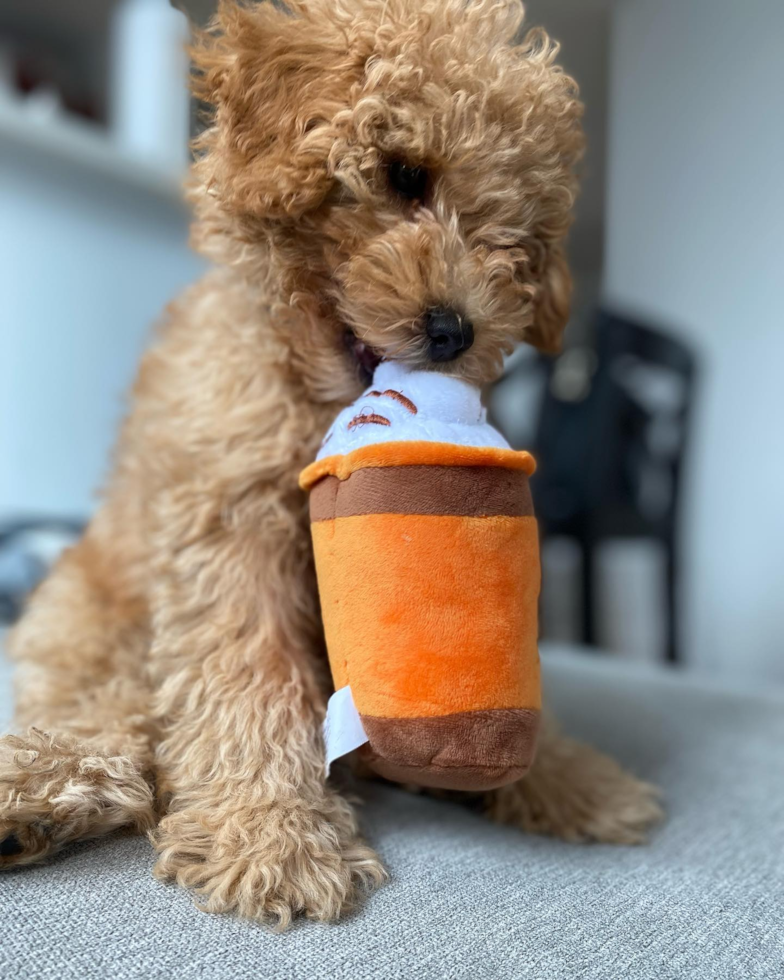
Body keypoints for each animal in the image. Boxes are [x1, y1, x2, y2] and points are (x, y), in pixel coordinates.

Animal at [0, 0, 660, 928]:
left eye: (520, 240)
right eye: (405, 174)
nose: (455, 331)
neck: (317, 398)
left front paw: (570, 777)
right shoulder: (231, 531)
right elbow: (248, 680)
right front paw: (273, 837)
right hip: (84, 624)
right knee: (119, 721)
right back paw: (40, 791)